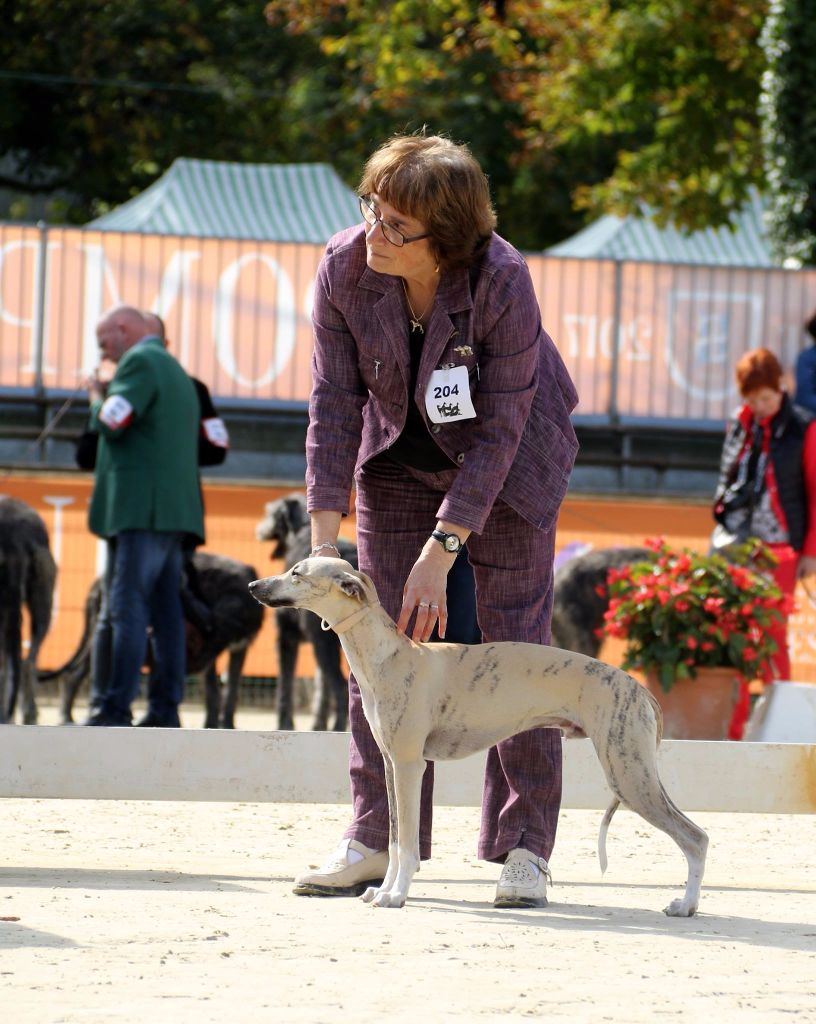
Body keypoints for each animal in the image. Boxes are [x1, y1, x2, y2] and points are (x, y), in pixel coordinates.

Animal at [249, 557, 708, 917]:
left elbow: (409, 844)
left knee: (696, 837)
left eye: (297, 573)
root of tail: (639, 688)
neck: (391, 656)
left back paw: (684, 905)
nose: (254, 586)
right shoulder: (391, 764)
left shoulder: (411, 766)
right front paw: (382, 890)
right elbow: (395, 840)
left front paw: (395, 895)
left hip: (630, 774)